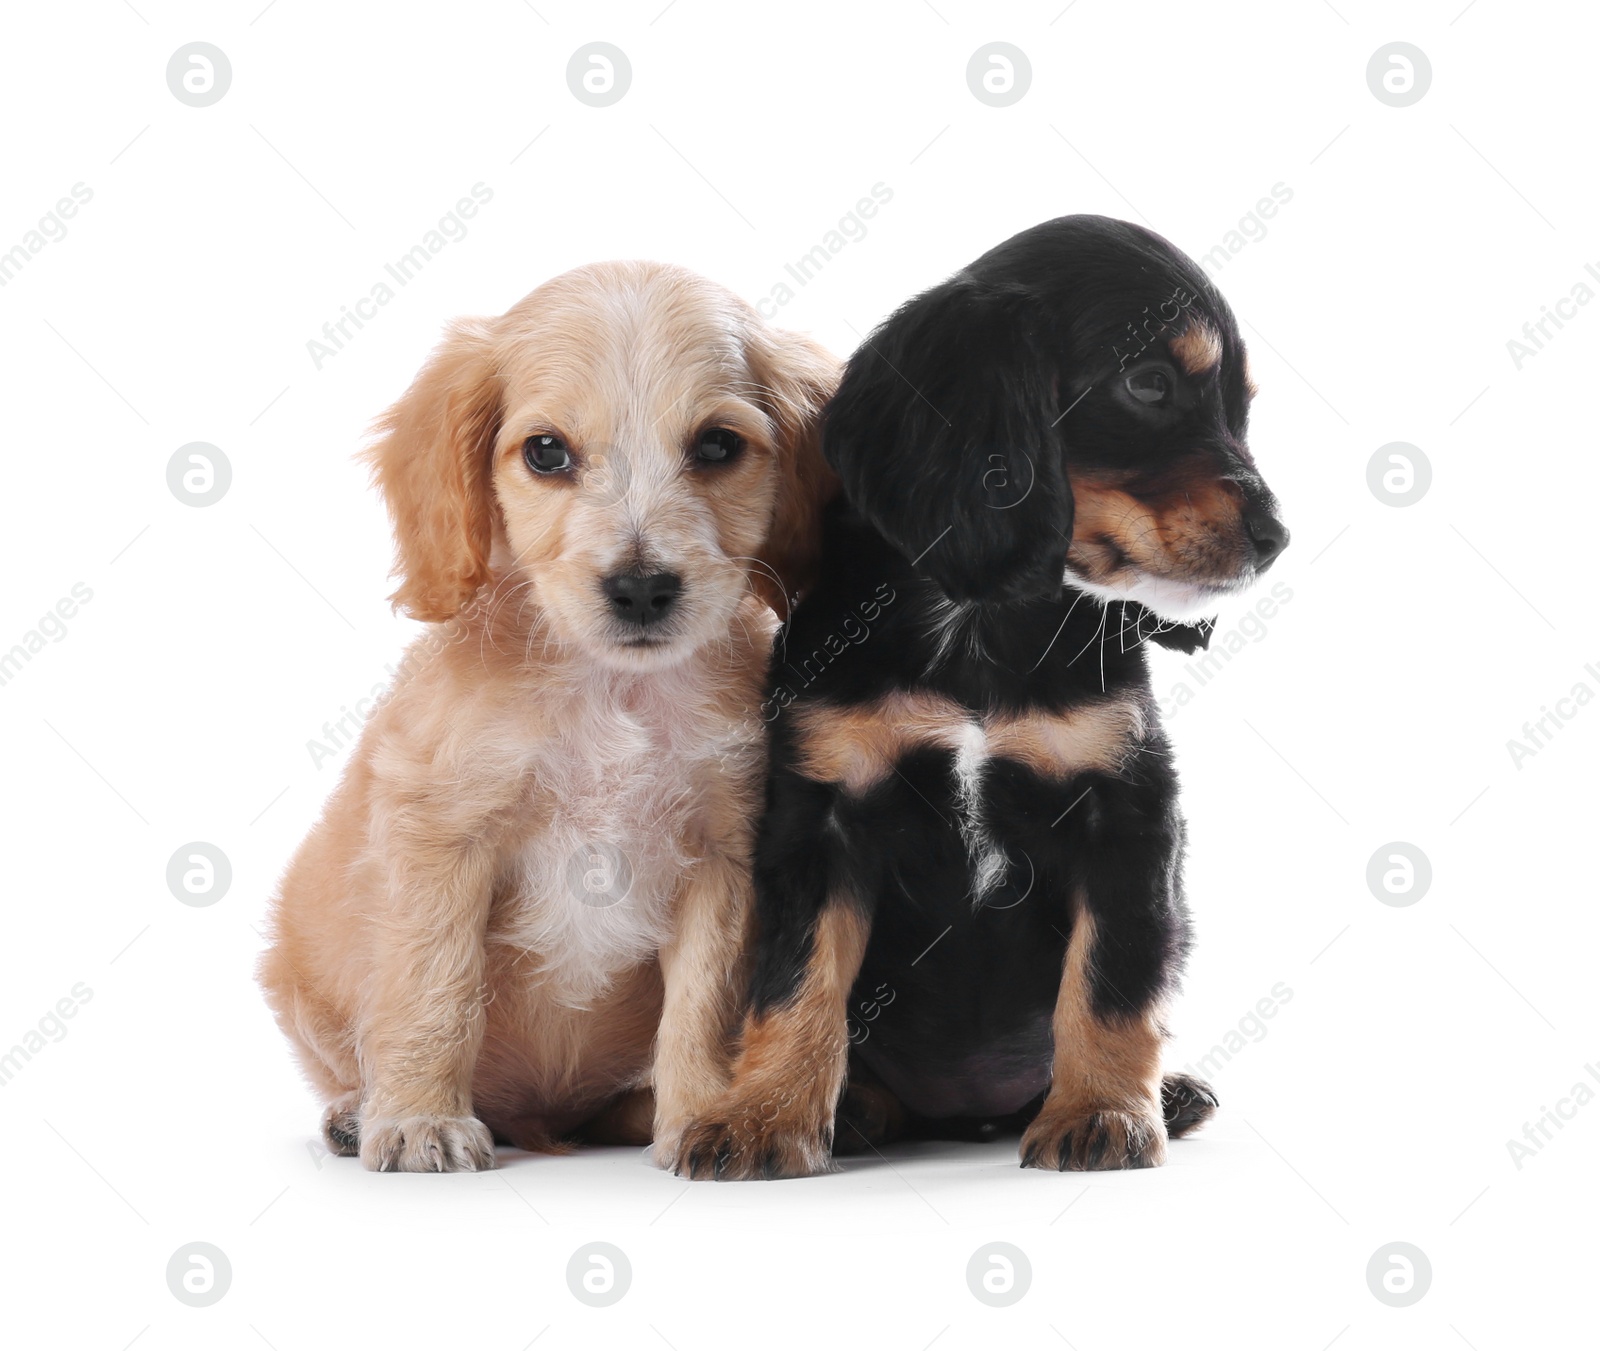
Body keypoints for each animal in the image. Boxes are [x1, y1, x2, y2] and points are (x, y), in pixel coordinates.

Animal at [259, 264, 838, 1171]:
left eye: (717, 445)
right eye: (546, 451)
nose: (641, 588)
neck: (611, 690)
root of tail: (544, 1120)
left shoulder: (725, 854)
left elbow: (704, 1007)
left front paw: (704, 1114)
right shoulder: (442, 838)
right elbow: (434, 985)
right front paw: (420, 1117)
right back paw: (359, 1111)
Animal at [672, 216, 1286, 1178]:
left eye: (1241, 408)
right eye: (1149, 383)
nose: (1275, 537)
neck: (979, 621)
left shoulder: (1128, 809)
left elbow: (1113, 979)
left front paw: (1103, 1112)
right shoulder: (820, 815)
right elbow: (797, 980)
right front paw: (761, 1117)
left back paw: (1167, 1093)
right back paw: (855, 1109)